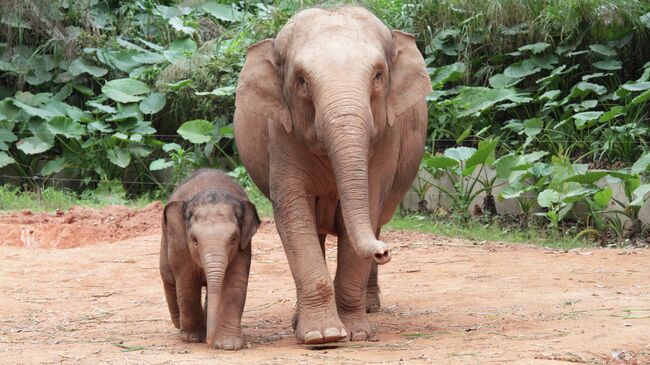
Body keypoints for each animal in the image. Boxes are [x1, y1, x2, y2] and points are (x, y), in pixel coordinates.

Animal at [161, 168, 260, 350]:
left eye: (233, 239)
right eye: (194, 240)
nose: (209, 342)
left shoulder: (243, 247)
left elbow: (235, 282)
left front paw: (228, 345)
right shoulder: (180, 246)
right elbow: (187, 282)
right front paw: (192, 338)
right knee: (169, 278)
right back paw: (179, 324)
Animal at [233, 6, 430, 344]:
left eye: (378, 76)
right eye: (301, 81)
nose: (384, 252)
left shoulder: (386, 138)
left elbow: (369, 205)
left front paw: (356, 333)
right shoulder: (281, 134)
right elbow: (294, 216)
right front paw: (321, 335)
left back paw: (370, 306)